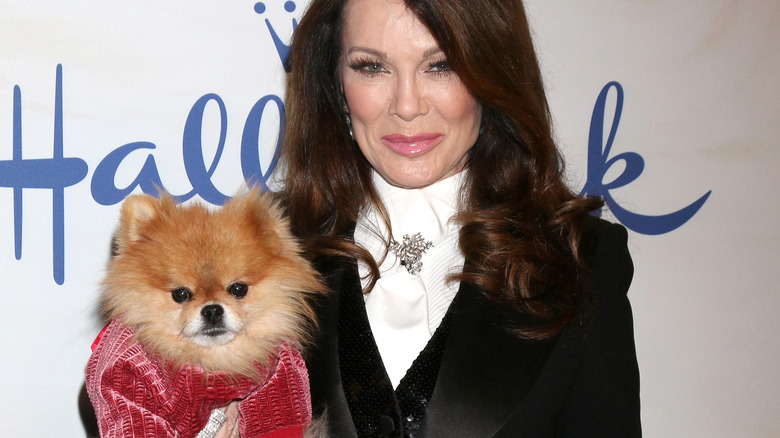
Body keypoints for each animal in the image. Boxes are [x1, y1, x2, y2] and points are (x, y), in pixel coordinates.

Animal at [87, 189, 326, 438]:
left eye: (238, 289)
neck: (211, 359)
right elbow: (138, 420)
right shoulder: (126, 381)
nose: (212, 310)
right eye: (181, 294)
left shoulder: (280, 376)